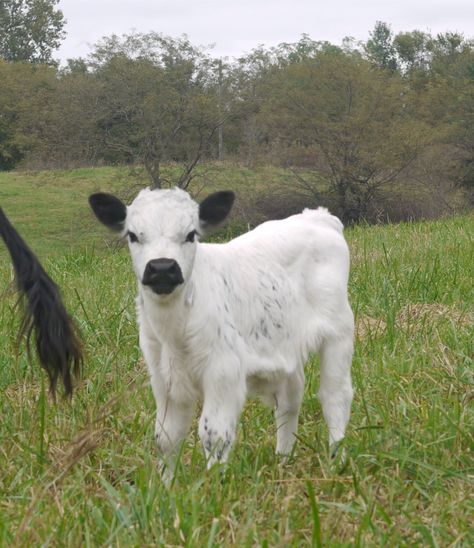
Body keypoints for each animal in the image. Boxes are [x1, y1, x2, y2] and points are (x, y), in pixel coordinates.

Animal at [89, 187, 354, 476]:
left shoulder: (224, 370)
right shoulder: (163, 377)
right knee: (289, 400)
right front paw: (165, 484)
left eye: (191, 234)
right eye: (133, 235)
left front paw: (214, 482)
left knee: (335, 397)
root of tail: (318, 217)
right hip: (285, 346)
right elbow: (165, 437)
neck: (174, 332)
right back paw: (283, 461)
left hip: (339, 332)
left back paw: (337, 462)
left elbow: (214, 434)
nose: (162, 268)